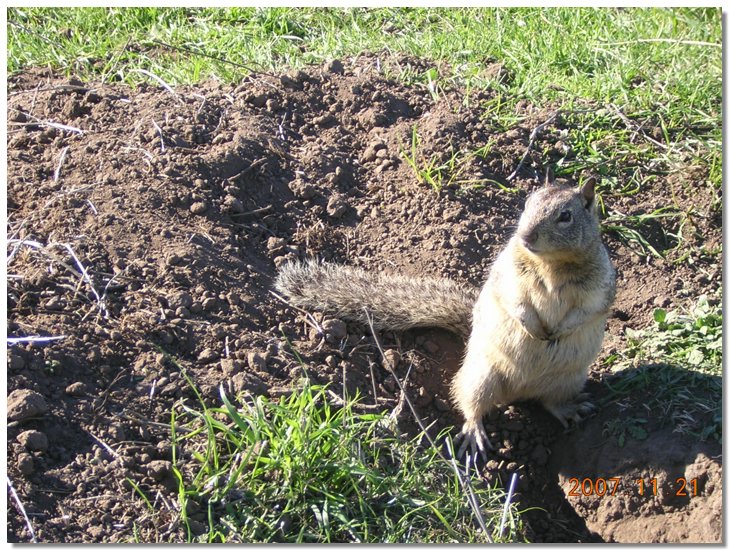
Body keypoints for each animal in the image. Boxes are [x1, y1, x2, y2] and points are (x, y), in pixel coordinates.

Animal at [272, 177, 616, 462]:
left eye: (566, 216)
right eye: (527, 204)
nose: (525, 235)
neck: (550, 264)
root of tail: (517, 394)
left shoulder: (599, 287)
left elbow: (588, 310)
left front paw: (558, 331)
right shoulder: (508, 273)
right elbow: (513, 298)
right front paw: (532, 326)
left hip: (568, 381)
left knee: (550, 402)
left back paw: (571, 409)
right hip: (482, 377)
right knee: (470, 404)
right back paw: (475, 434)